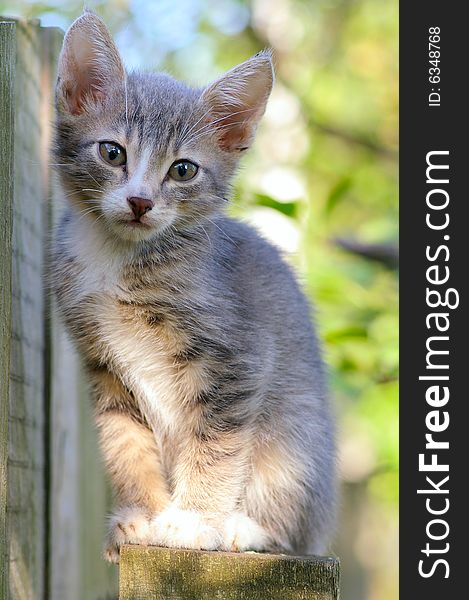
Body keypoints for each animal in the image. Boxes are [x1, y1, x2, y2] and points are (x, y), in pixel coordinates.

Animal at [51, 10, 334, 564]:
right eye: (112, 152)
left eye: (183, 170)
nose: (140, 201)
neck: (118, 256)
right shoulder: (104, 367)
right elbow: (125, 444)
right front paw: (142, 516)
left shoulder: (238, 358)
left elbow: (215, 445)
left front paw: (194, 520)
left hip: (296, 436)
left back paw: (246, 528)